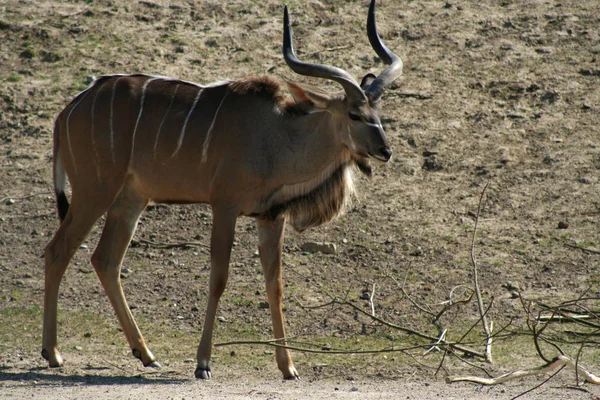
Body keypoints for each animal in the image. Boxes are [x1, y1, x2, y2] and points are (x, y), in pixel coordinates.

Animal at [43, 0, 404, 380]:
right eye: (354, 115)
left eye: (379, 114)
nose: (385, 151)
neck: (276, 135)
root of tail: (67, 111)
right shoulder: (225, 206)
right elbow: (219, 278)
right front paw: (203, 363)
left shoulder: (270, 216)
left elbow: (275, 284)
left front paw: (288, 367)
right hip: (94, 191)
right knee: (57, 251)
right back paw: (53, 353)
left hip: (131, 199)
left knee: (105, 260)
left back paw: (146, 354)